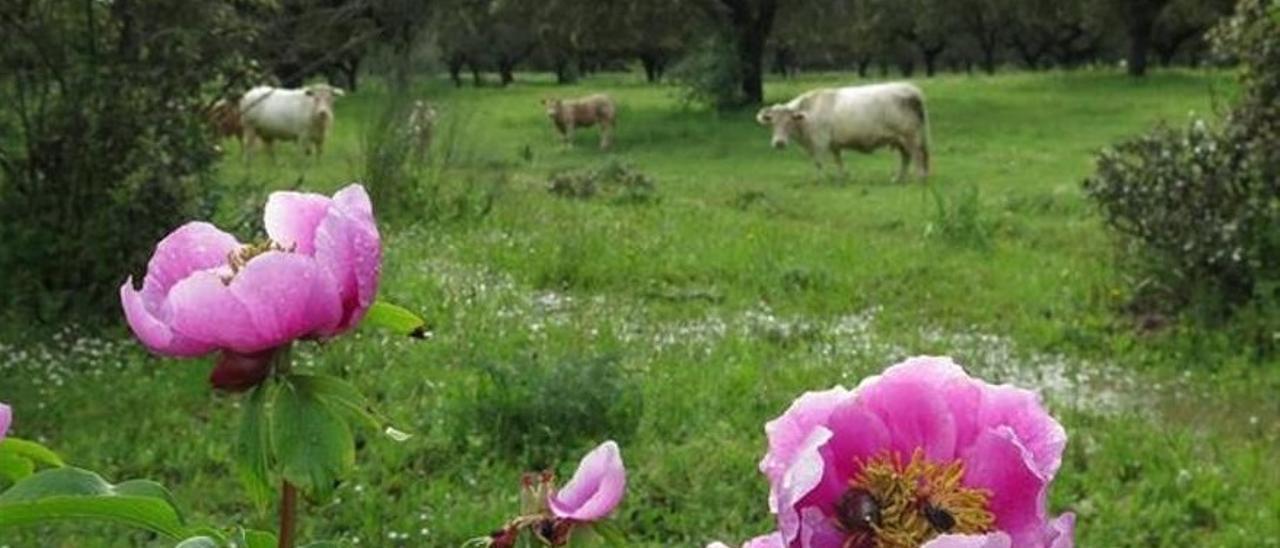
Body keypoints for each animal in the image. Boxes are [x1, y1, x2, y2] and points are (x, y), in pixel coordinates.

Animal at [752, 82, 936, 181]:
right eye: (772, 122)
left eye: (789, 121)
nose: (779, 143)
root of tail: (911, 89)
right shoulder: (834, 144)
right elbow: (838, 161)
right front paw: (842, 178)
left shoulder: (820, 142)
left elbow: (818, 162)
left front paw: (821, 180)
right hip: (899, 139)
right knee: (906, 157)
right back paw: (898, 179)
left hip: (911, 136)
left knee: (918, 155)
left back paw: (920, 178)